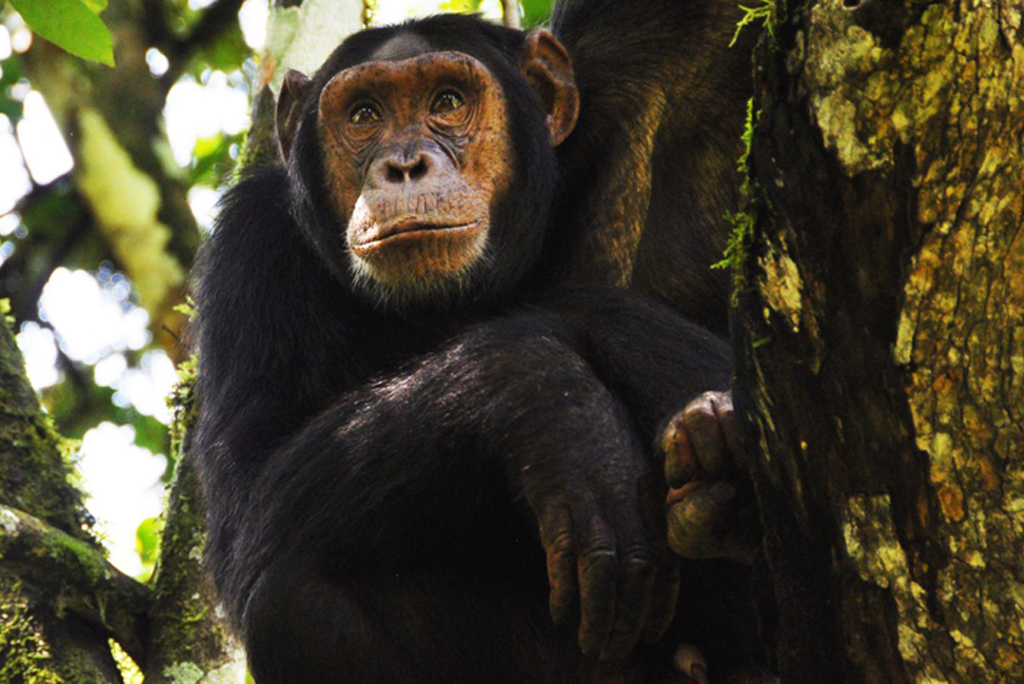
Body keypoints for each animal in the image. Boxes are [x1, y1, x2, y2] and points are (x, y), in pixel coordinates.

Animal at [193, 1, 770, 684]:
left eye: (447, 100)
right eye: (363, 114)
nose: (405, 164)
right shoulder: (250, 250)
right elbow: (247, 507)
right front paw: (554, 407)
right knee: (288, 602)